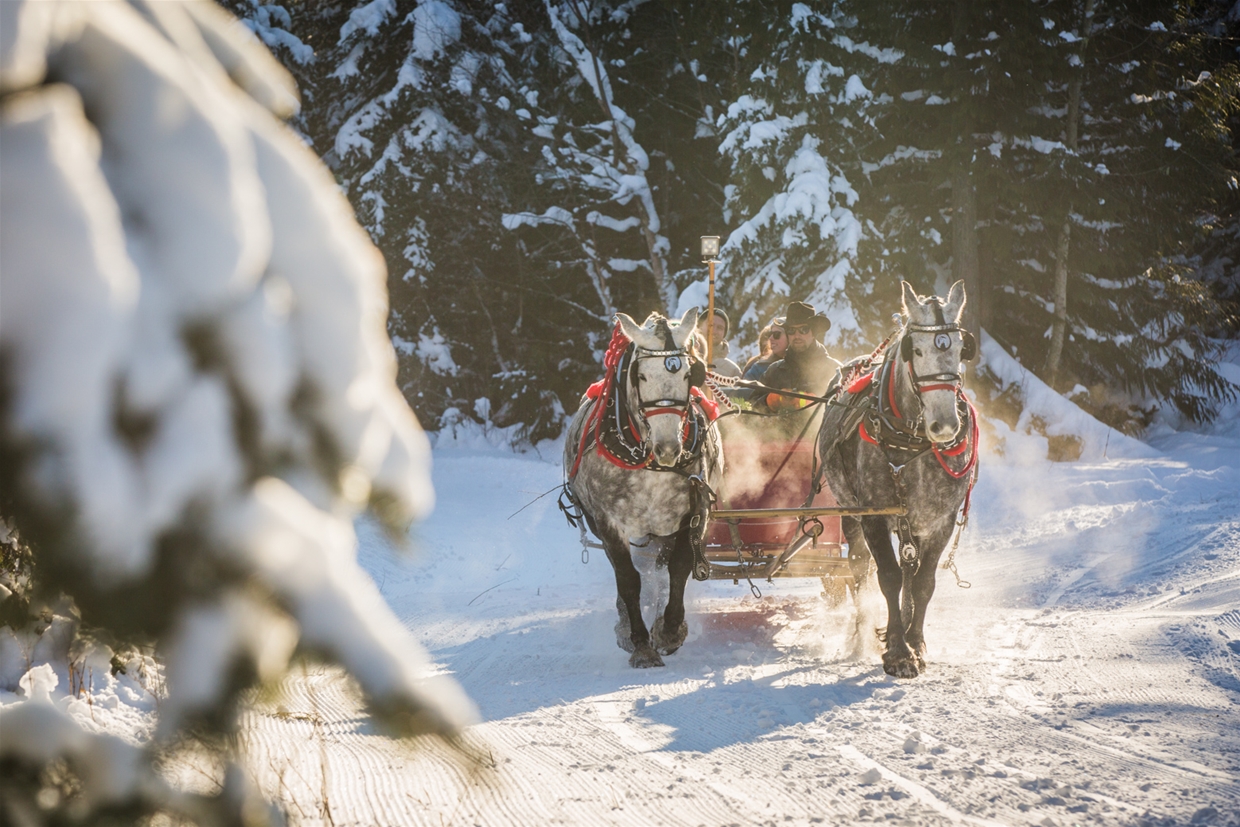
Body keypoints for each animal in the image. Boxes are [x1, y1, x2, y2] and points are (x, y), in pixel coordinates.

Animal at [563, 307, 723, 668]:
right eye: (642, 376)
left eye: (689, 375)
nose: (668, 448)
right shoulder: (608, 521)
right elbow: (628, 578)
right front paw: (640, 643)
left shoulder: (693, 512)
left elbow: (679, 567)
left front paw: (670, 629)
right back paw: (625, 624)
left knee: (661, 567)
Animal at [816, 281, 979, 678]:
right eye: (915, 350)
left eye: (960, 350)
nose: (945, 426)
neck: (910, 441)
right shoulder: (874, 515)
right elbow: (887, 577)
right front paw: (897, 651)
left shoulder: (939, 521)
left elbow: (923, 583)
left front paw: (915, 643)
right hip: (851, 512)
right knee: (860, 569)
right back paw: (861, 634)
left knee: (910, 569)